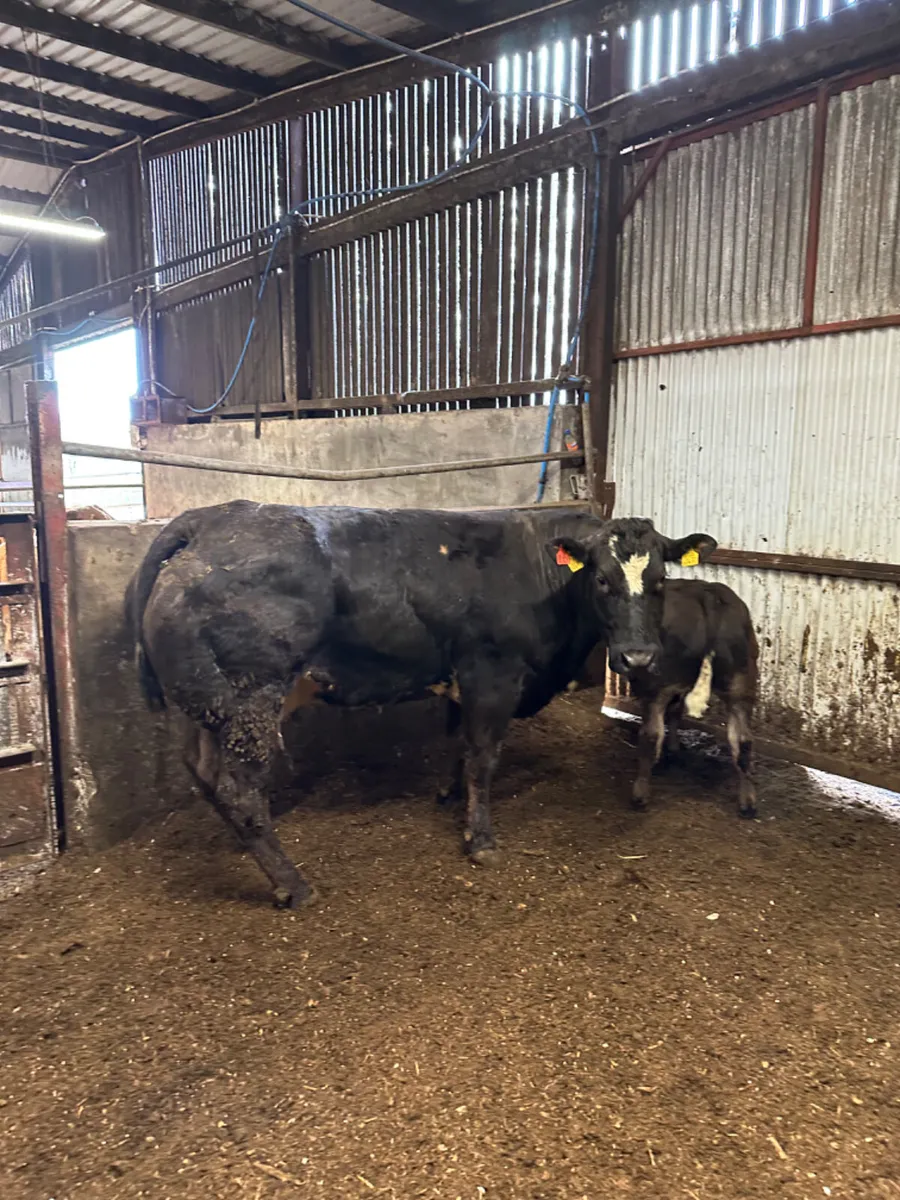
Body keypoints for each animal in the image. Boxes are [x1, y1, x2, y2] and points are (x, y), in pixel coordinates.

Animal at [126, 500, 716, 908]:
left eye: (659, 581)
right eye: (601, 578)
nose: (638, 657)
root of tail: (211, 518)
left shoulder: (460, 679)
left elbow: (458, 745)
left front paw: (446, 795)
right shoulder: (492, 675)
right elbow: (483, 758)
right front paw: (480, 838)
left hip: (210, 704)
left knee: (205, 774)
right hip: (253, 693)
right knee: (238, 787)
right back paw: (293, 884)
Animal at [625, 578, 758, 817]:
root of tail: (707, 594)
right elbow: (676, 712)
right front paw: (674, 747)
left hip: (656, 685)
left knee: (650, 736)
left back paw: (640, 793)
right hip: (741, 684)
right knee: (743, 740)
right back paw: (748, 801)